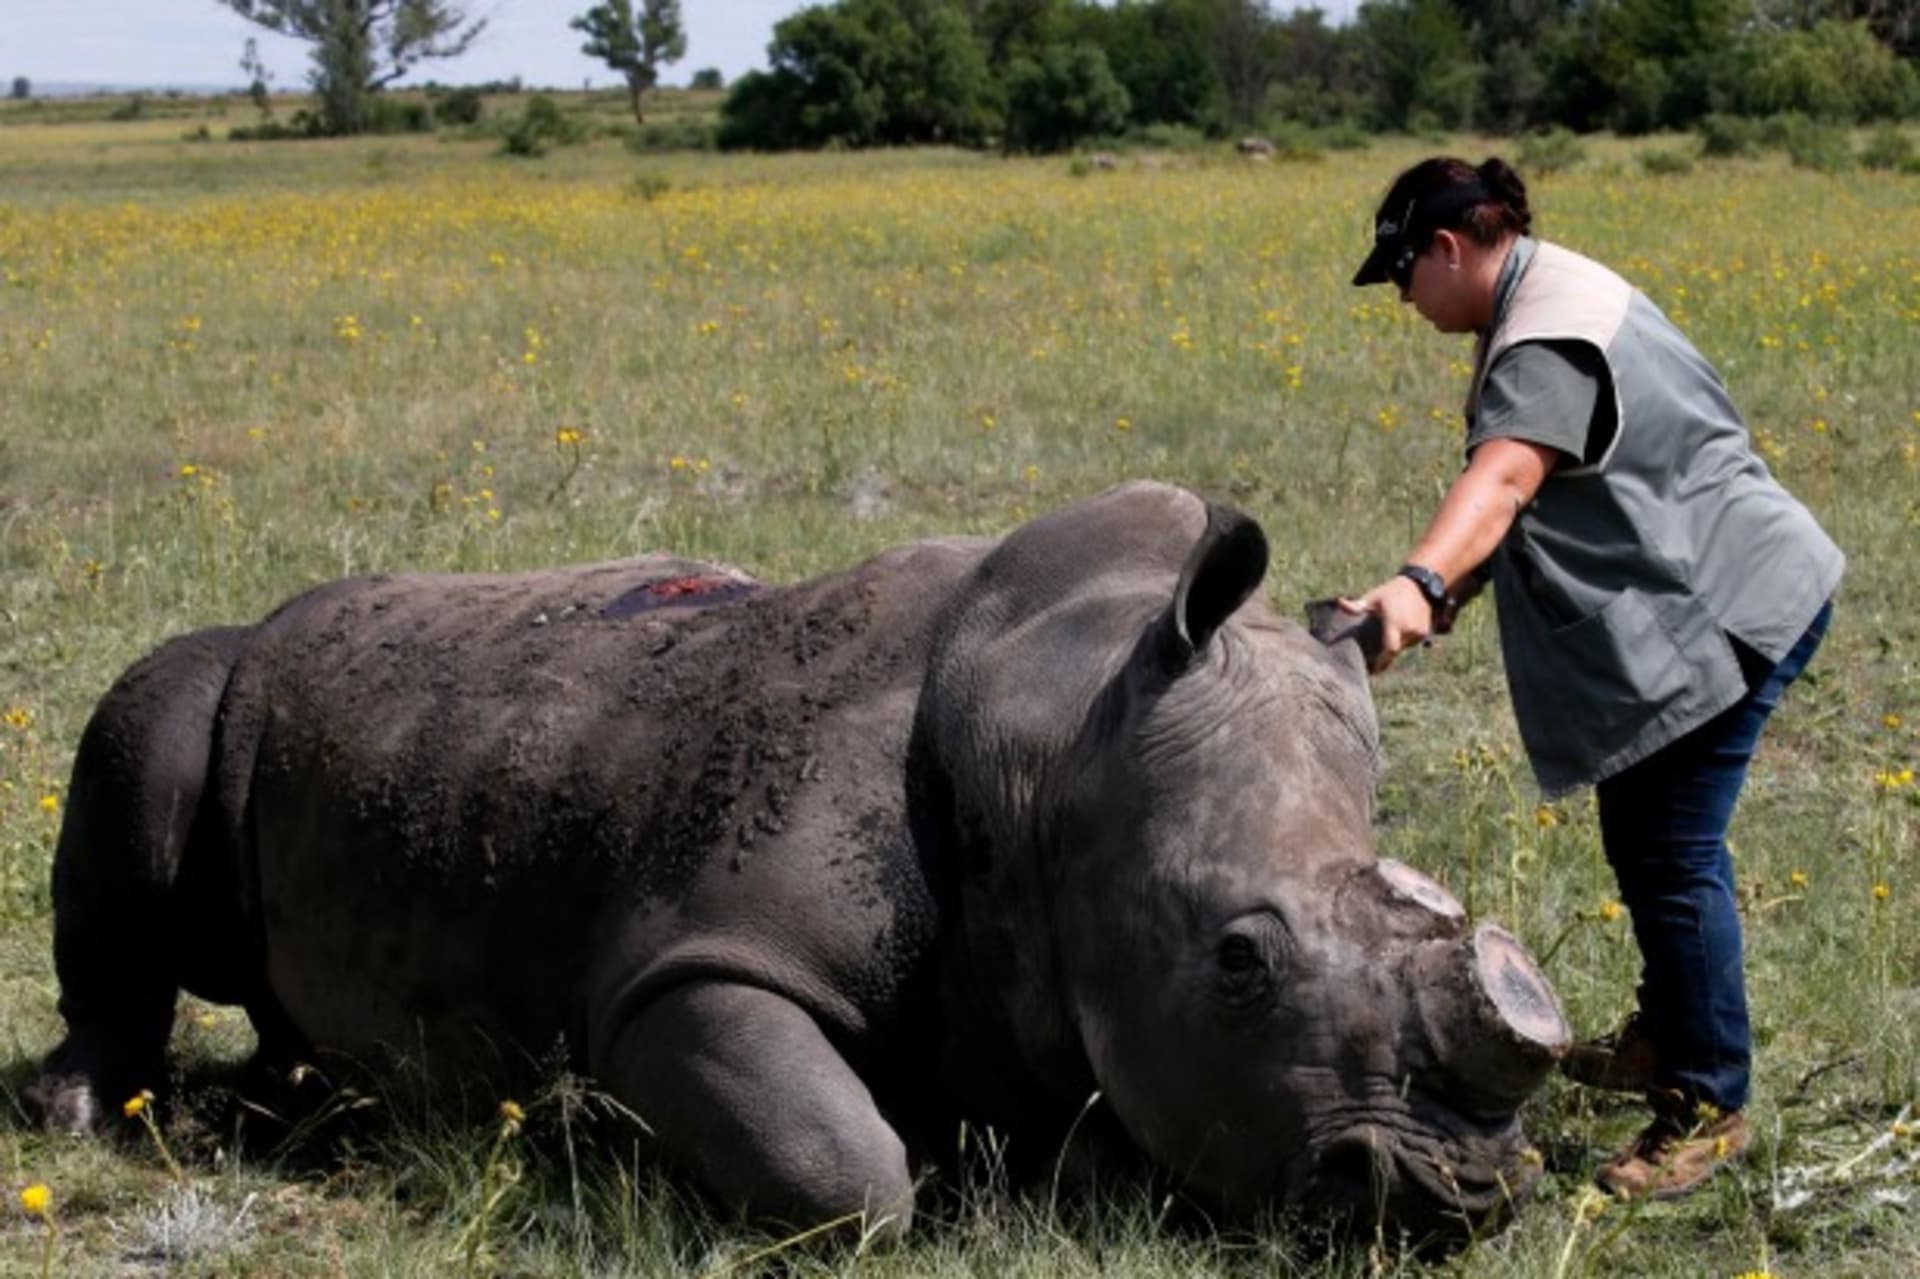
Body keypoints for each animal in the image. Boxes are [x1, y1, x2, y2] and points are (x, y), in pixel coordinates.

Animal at [31, 480, 1569, 1240]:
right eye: (1241, 959)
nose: (1456, 1198)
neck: (1063, 738)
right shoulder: (699, 962)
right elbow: (851, 1174)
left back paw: (294, 1095)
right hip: (230, 671)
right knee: (153, 729)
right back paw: (87, 1118)